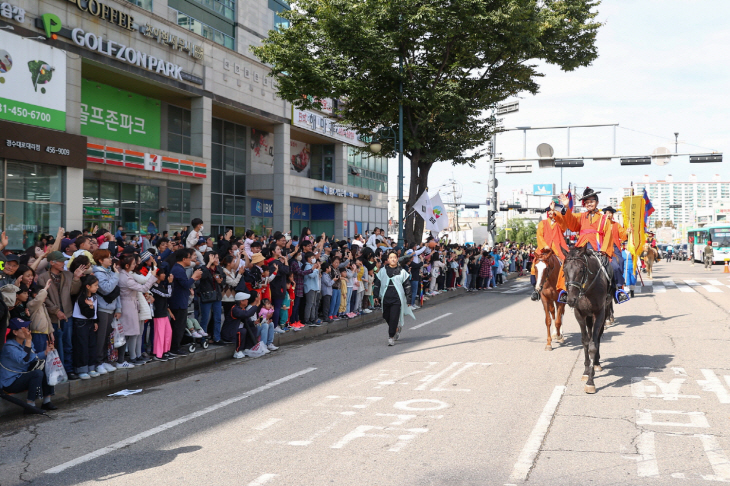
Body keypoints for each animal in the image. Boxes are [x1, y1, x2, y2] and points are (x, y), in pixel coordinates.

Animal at [560, 247, 612, 394]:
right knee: (590, 336)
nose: (571, 299)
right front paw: (586, 371)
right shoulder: (580, 314)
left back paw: (597, 364)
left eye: (581, 270)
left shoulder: (599, 313)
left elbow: (593, 345)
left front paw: (590, 382)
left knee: (597, 337)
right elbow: (585, 342)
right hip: (588, 317)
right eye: (564, 269)